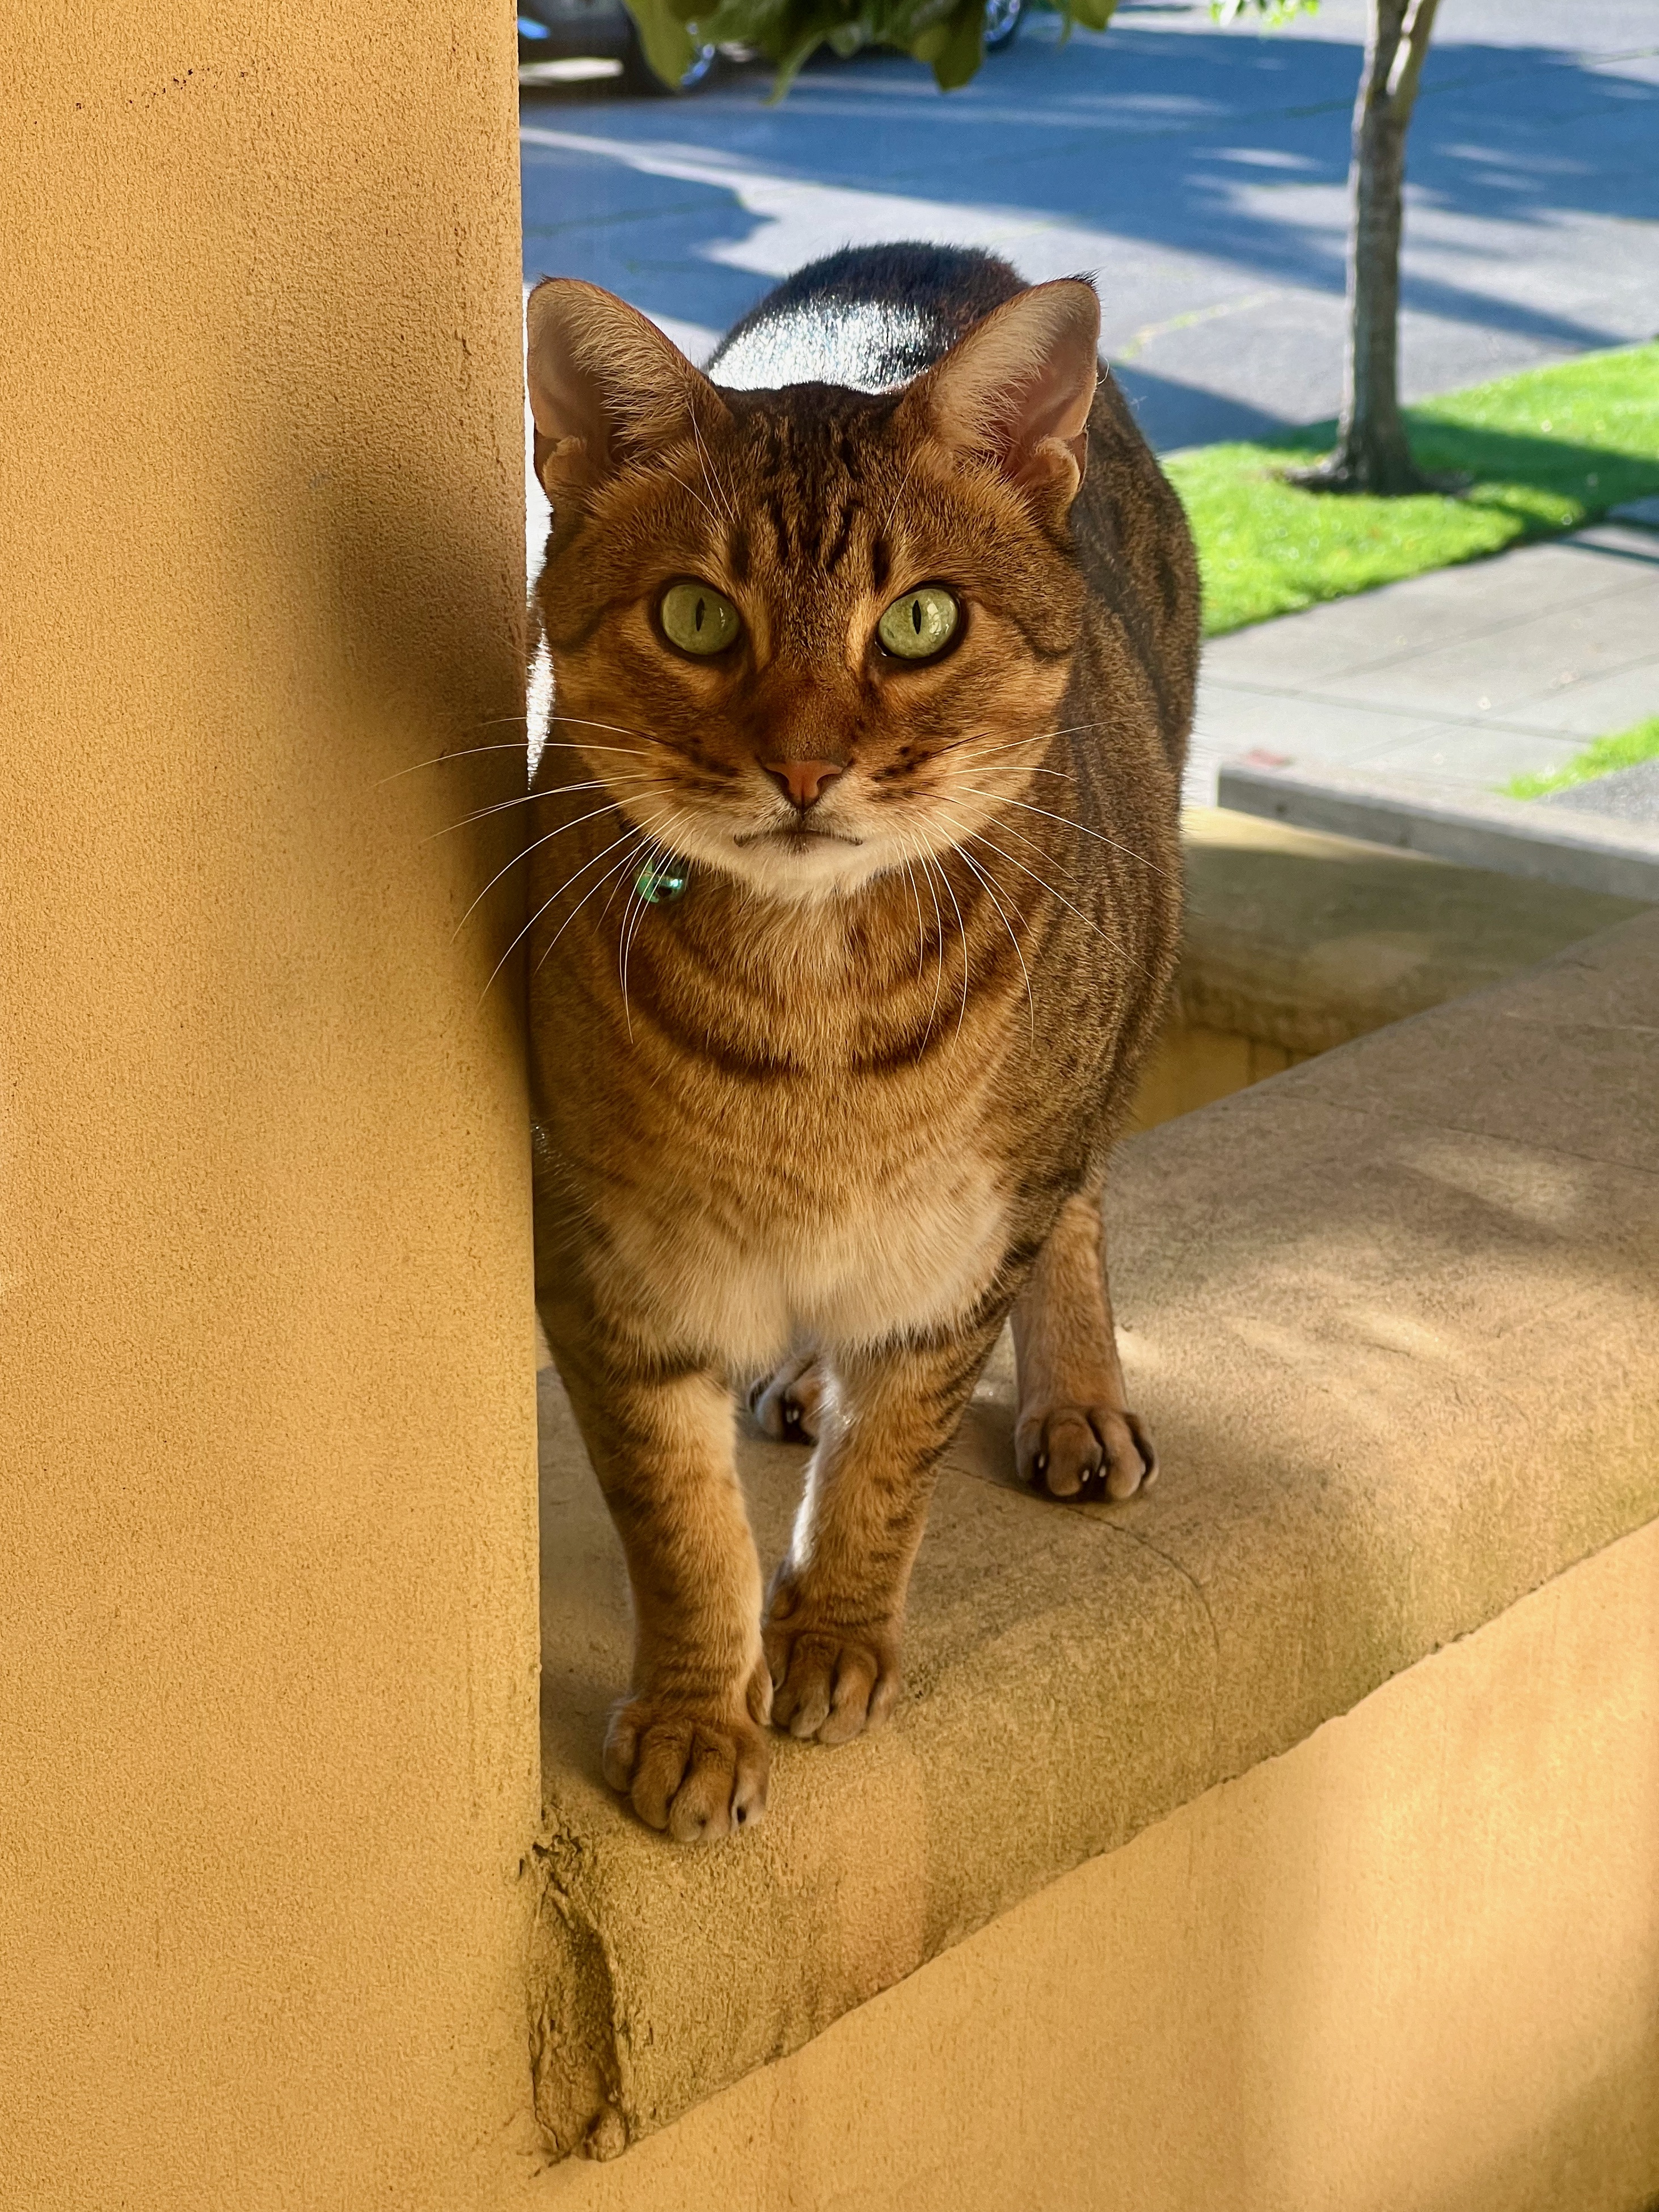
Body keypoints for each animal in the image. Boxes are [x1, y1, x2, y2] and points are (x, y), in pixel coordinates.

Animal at [526, 242, 1203, 1840]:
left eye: (917, 622)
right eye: (696, 617)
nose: (804, 765)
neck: (810, 1036)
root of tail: (916, 254)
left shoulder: (955, 1263)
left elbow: (886, 1469)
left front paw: (831, 1634)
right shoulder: (601, 1262)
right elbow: (678, 1519)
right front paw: (699, 1714)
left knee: (1080, 1213)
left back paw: (1077, 1401)